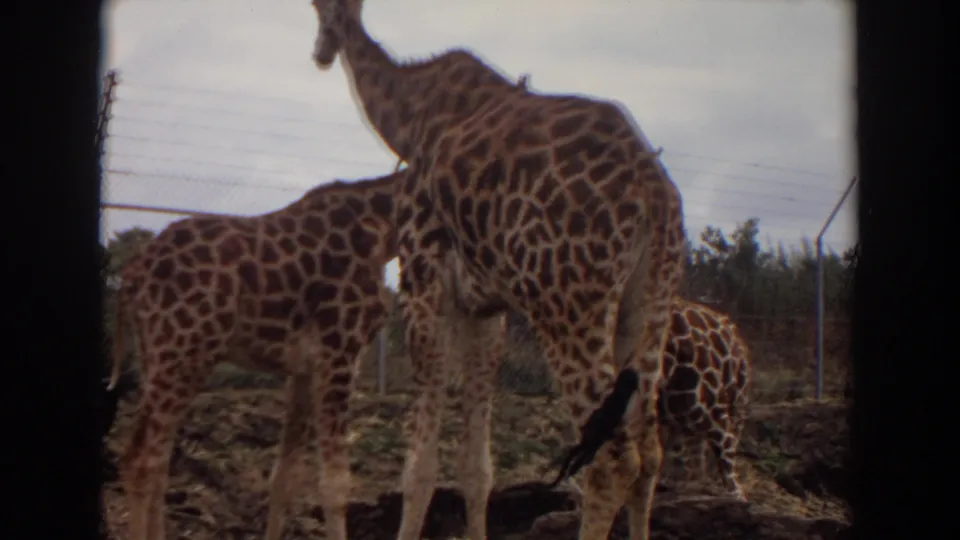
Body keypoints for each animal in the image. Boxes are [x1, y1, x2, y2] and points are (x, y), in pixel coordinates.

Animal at [107, 171, 401, 540]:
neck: (384, 231)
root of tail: (131, 277)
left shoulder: (304, 367)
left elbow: (284, 476)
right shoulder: (341, 351)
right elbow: (335, 483)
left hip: (158, 356)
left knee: (159, 460)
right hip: (182, 352)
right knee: (139, 458)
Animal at [308, 2, 686, 539]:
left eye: (317, 10)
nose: (320, 53)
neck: (408, 115)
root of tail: (655, 194)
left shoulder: (423, 278)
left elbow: (420, 466)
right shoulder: (487, 306)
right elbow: (476, 467)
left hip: (569, 304)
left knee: (611, 458)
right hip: (651, 302)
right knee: (650, 452)